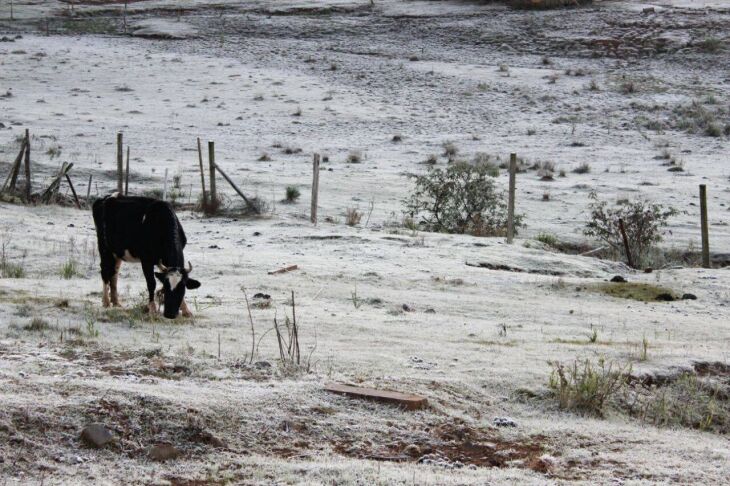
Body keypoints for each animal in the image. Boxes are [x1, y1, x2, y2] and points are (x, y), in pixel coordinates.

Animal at [94, 192, 202, 320]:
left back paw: (116, 302)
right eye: (166, 287)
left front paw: (185, 310)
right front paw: (152, 309)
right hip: (104, 248)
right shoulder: (146, 260)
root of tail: (107, 197)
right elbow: (151, 283)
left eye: (182, 288)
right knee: (105, 271)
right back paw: (106, 302)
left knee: (114, 272)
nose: (170, 314)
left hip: (117, 252)